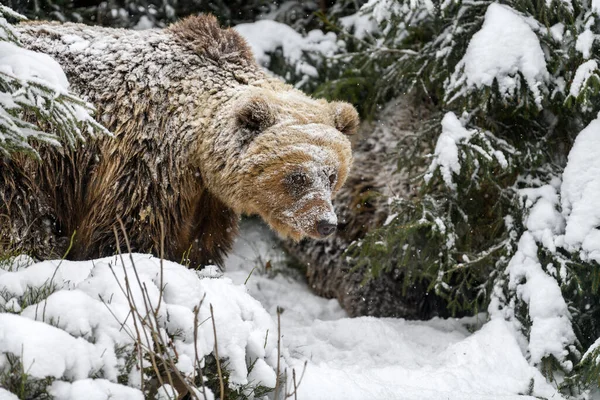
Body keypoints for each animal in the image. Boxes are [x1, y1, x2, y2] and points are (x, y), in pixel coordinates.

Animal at [1, 15, 356, 268]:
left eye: (332, 176)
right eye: (297, 177)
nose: (326, 223)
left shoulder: (209, 198)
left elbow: (203, 242)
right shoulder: (147, 164)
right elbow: (127, 230)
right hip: (27, 145)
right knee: (19, 211)